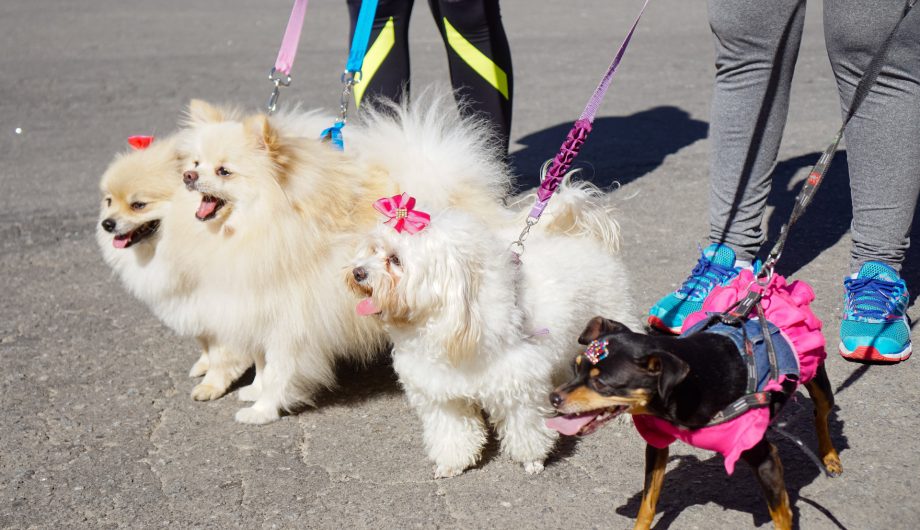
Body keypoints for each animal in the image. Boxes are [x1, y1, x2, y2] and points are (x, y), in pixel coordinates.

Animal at [175, 89, 512, 420]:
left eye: (224, 171)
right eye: (196, 162)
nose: (188, 176)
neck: (262, 222)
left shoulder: (288, 320)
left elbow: (278, 370)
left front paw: (262, 410)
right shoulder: (255, 307)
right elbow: (261, 361)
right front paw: (254, 391)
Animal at [344, 180, 640, 474]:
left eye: (396, 260)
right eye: (373, 250)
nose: (357, 272)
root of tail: (582, 236)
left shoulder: (518, 381)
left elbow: (525, 428)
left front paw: (532, 459)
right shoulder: (440, 392)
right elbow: (452, 432)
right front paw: (452, 463)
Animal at [548, 316, 840, 524]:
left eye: (602, 383)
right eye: (575, 368)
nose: (553, 397)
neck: (690, 386)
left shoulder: (765, 457)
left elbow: (781, 515)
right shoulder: (657, 445)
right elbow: (647, 504)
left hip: (818, 379)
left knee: (821, 413)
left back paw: (829, 457)